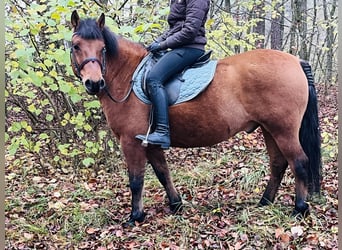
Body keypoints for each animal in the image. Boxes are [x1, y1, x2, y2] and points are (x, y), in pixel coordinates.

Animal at [69, 10, 320, 226]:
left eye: (103, 48)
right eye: (76, 45)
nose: (94, 83)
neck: (128, 76)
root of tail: (296, 61)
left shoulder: (131, 141)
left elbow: (136, 180)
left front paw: (135, 216)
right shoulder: (150, 142)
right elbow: (162, 172)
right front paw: (176, 205)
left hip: (283, 130)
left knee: (299, 162)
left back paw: (299, 209)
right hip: (269, 129)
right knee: (278, 163)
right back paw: (265, 202)